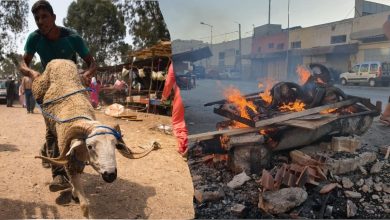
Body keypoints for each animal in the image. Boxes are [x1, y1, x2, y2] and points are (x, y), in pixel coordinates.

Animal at [32, 58, 157, 218]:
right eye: (90, 146)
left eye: (115, 145)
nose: (110, 175)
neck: (79, 116)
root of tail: (60, 60)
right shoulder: (70, 163)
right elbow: (84, 205)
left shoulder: (77, 162)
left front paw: (74, 193)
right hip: (47, 120)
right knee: (49, 138)